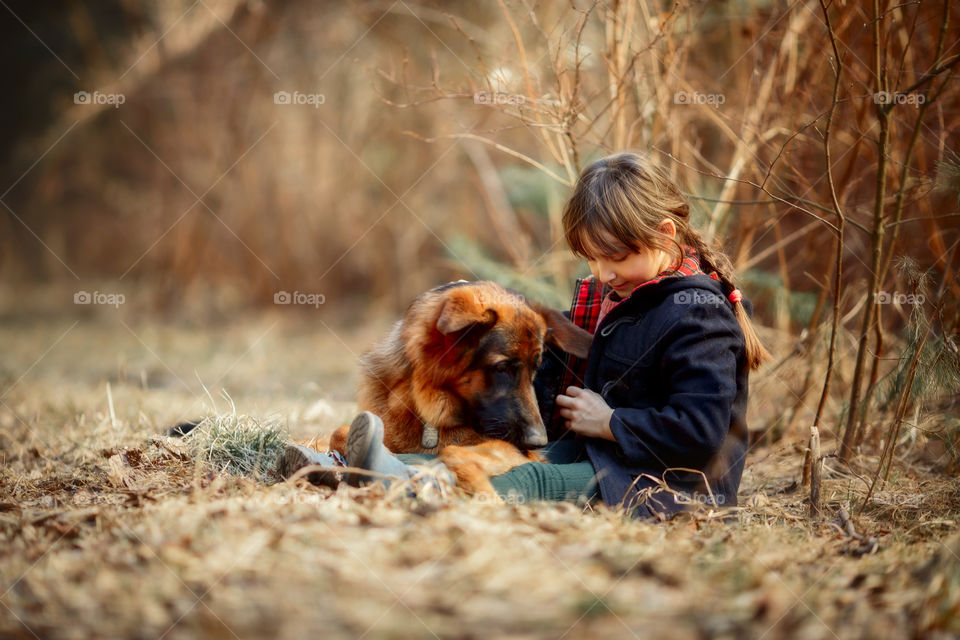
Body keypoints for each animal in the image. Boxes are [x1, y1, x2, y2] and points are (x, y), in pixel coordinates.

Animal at [330, 280, 592, 496]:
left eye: (534, 369)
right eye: (502, 368)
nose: (539, 442)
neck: (430, 412)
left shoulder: (519, 452)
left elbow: (453, 452)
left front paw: (485, 494)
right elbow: (338, 432)